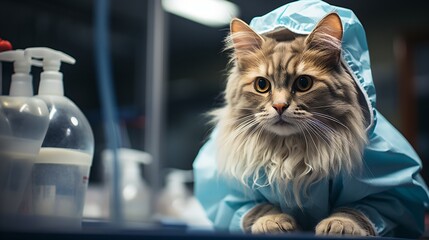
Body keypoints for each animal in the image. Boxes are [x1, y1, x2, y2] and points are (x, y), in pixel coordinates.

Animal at [211, 12, 374, 235]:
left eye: (303, 83)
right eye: (261, 85)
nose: (280, 106)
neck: (289, 150)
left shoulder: (381, 192)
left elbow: (353, 209)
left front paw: (341, 224)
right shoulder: (233, 195)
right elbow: (260, 207)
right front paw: (273, 221)